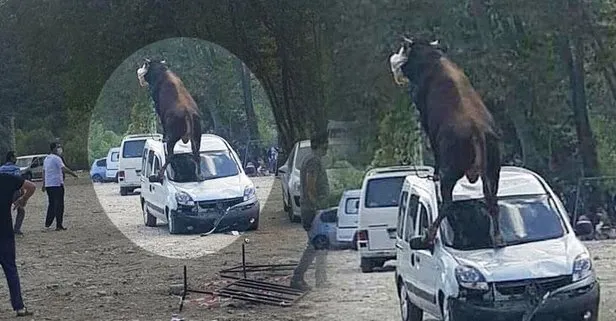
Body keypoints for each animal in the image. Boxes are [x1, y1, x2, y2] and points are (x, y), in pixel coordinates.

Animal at [390, 37, 506, 248]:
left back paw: (427, 236)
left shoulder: (425, 118)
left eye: (402, 48)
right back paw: (498, 238)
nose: (393, 58)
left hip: (450, 172)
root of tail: (477, 131)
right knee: (492, 200)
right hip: (494, 169)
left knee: (447, 203)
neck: (431, 59)